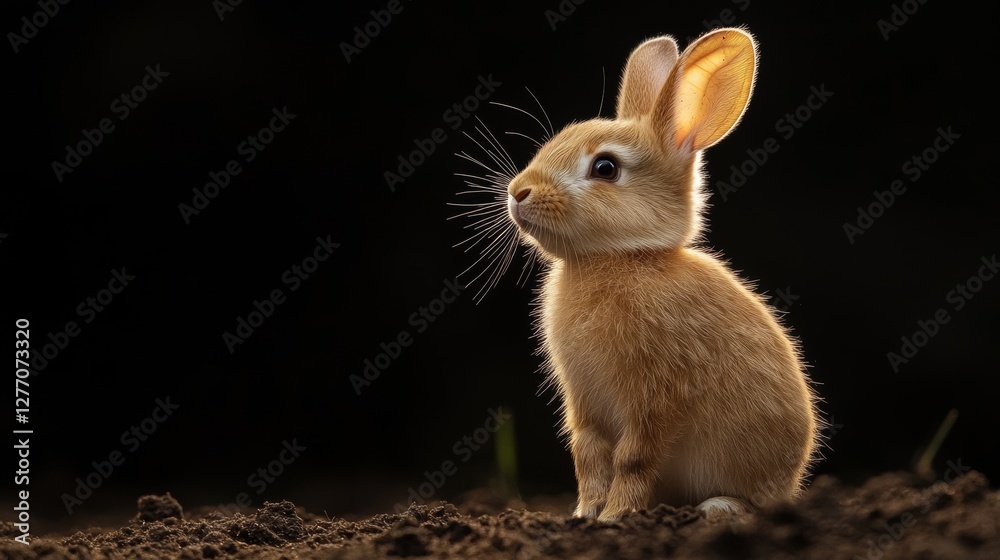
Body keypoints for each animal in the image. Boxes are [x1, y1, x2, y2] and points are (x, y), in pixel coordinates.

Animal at [505, 28, 820, 521]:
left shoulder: (655, 396)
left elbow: (632, 458)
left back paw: (719, 508)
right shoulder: (584, 403)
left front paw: (615, 517)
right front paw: (584, 515)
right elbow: (588, 456)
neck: (620, 256)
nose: (518, 192)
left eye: (606, 168)